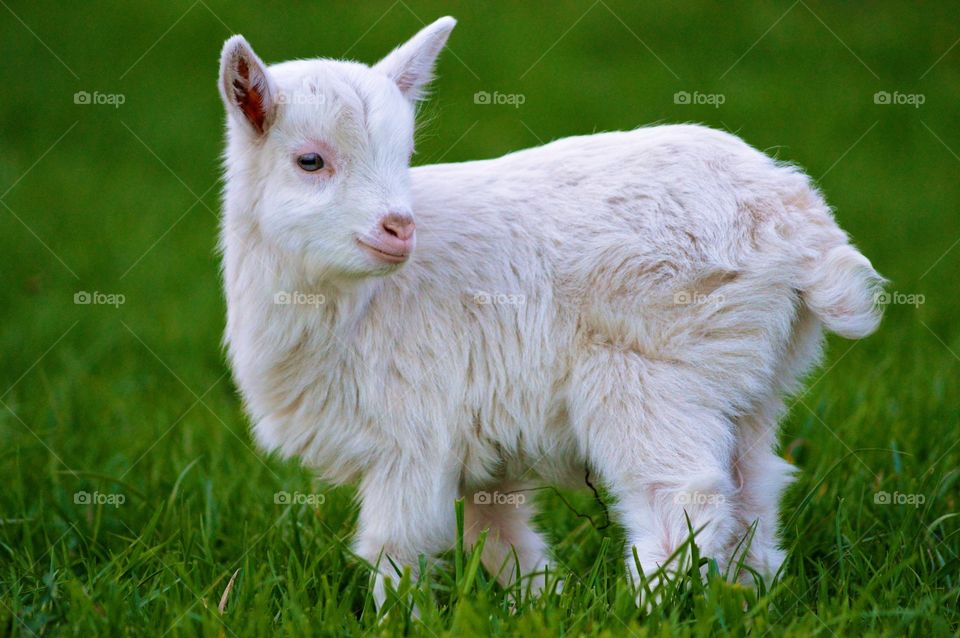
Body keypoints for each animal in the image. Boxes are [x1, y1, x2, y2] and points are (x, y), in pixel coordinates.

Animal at [218, 16, 884, 608]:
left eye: (404, 154)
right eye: (310, 161)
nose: (399, 229)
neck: (353, 302)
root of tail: (792, 218)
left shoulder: (411, 433)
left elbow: (396, 549)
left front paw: (396, 620)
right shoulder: (479, 443)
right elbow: (498, 539)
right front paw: (538, 601)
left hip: (653, 373)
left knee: (682, 493)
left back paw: (649, 608)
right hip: (754, 375)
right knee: (755, 487)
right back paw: (748, 598)